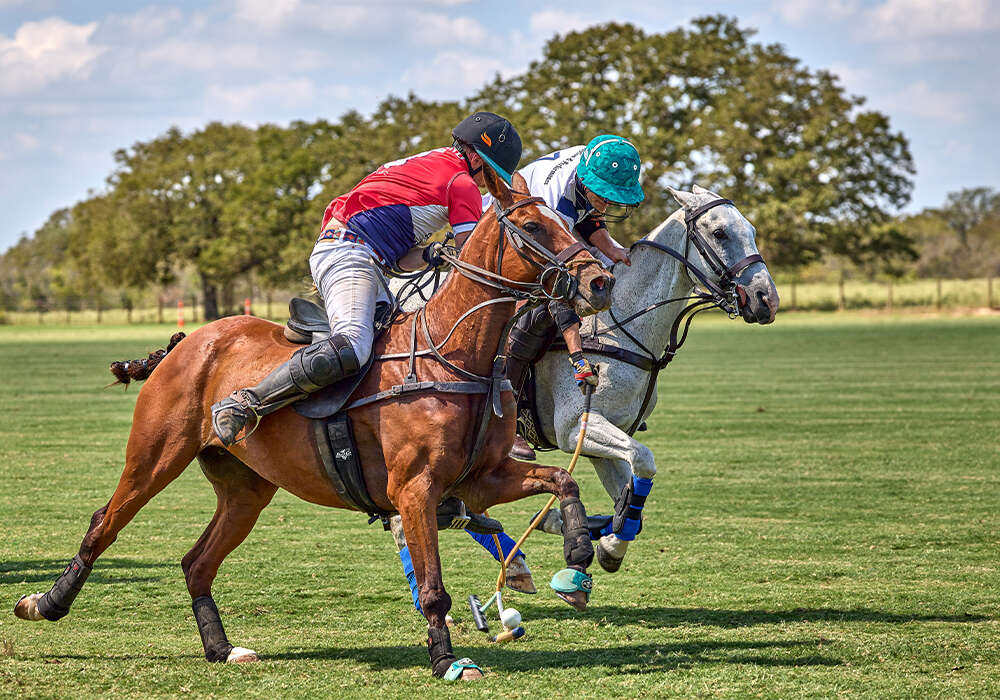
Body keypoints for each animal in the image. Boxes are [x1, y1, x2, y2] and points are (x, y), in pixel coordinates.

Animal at [13, 168, 608, 680]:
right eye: (533, 226)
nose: (600, 282)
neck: (455, 355)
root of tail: (185, 342)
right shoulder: (415, 489)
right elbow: (434, 586)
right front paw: (448, 660)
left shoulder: (479, 479)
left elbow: (564, 479)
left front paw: (579, 553)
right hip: (153, 457)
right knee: (104, 525)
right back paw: (45, 603)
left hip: (246, 487)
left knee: (196, 562)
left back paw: (223, 649)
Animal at [386, 186, 776, 596]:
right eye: (720, 233)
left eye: (751, 229)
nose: (766, 299)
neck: (618, 325)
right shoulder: (576, 428)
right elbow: (644, 460)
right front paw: (587, 536)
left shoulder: (602, 437)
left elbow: (631, 497)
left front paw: (601, 541)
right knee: (404, 515)